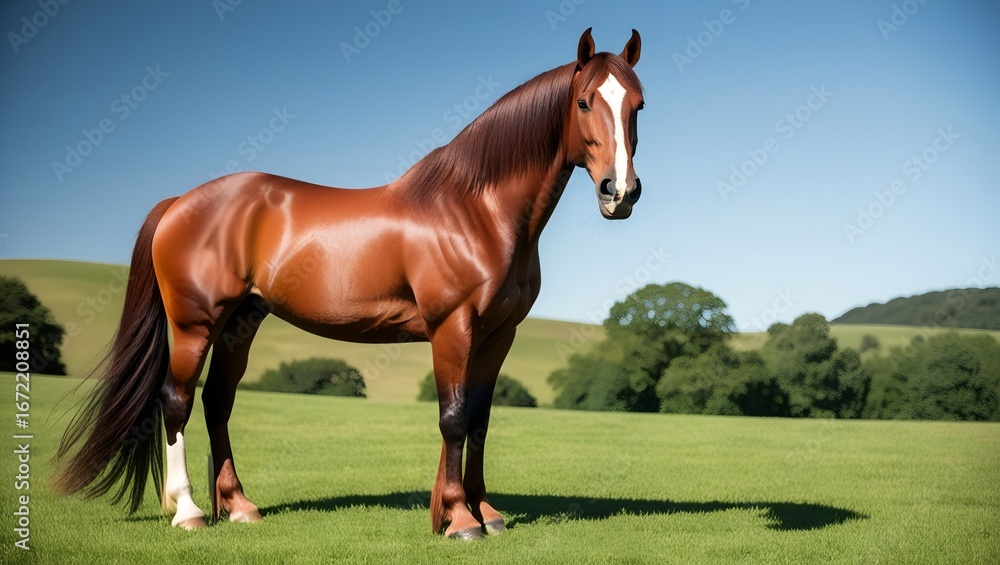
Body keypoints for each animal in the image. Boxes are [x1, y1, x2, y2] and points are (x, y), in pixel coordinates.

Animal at [54, 27, 644, 540]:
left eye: (638, 105)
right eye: (585, 102)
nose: (620, 192)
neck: (475, 208)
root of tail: (179, 201)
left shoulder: (498, 335)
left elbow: (479, 419)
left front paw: (487, 514)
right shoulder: (452, 328)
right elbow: (453, 419)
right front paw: (459, 520)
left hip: (241, 321)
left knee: (218, 401)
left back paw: (240, 507)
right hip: (195, 324)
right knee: (175, 401)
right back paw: (189, 512)